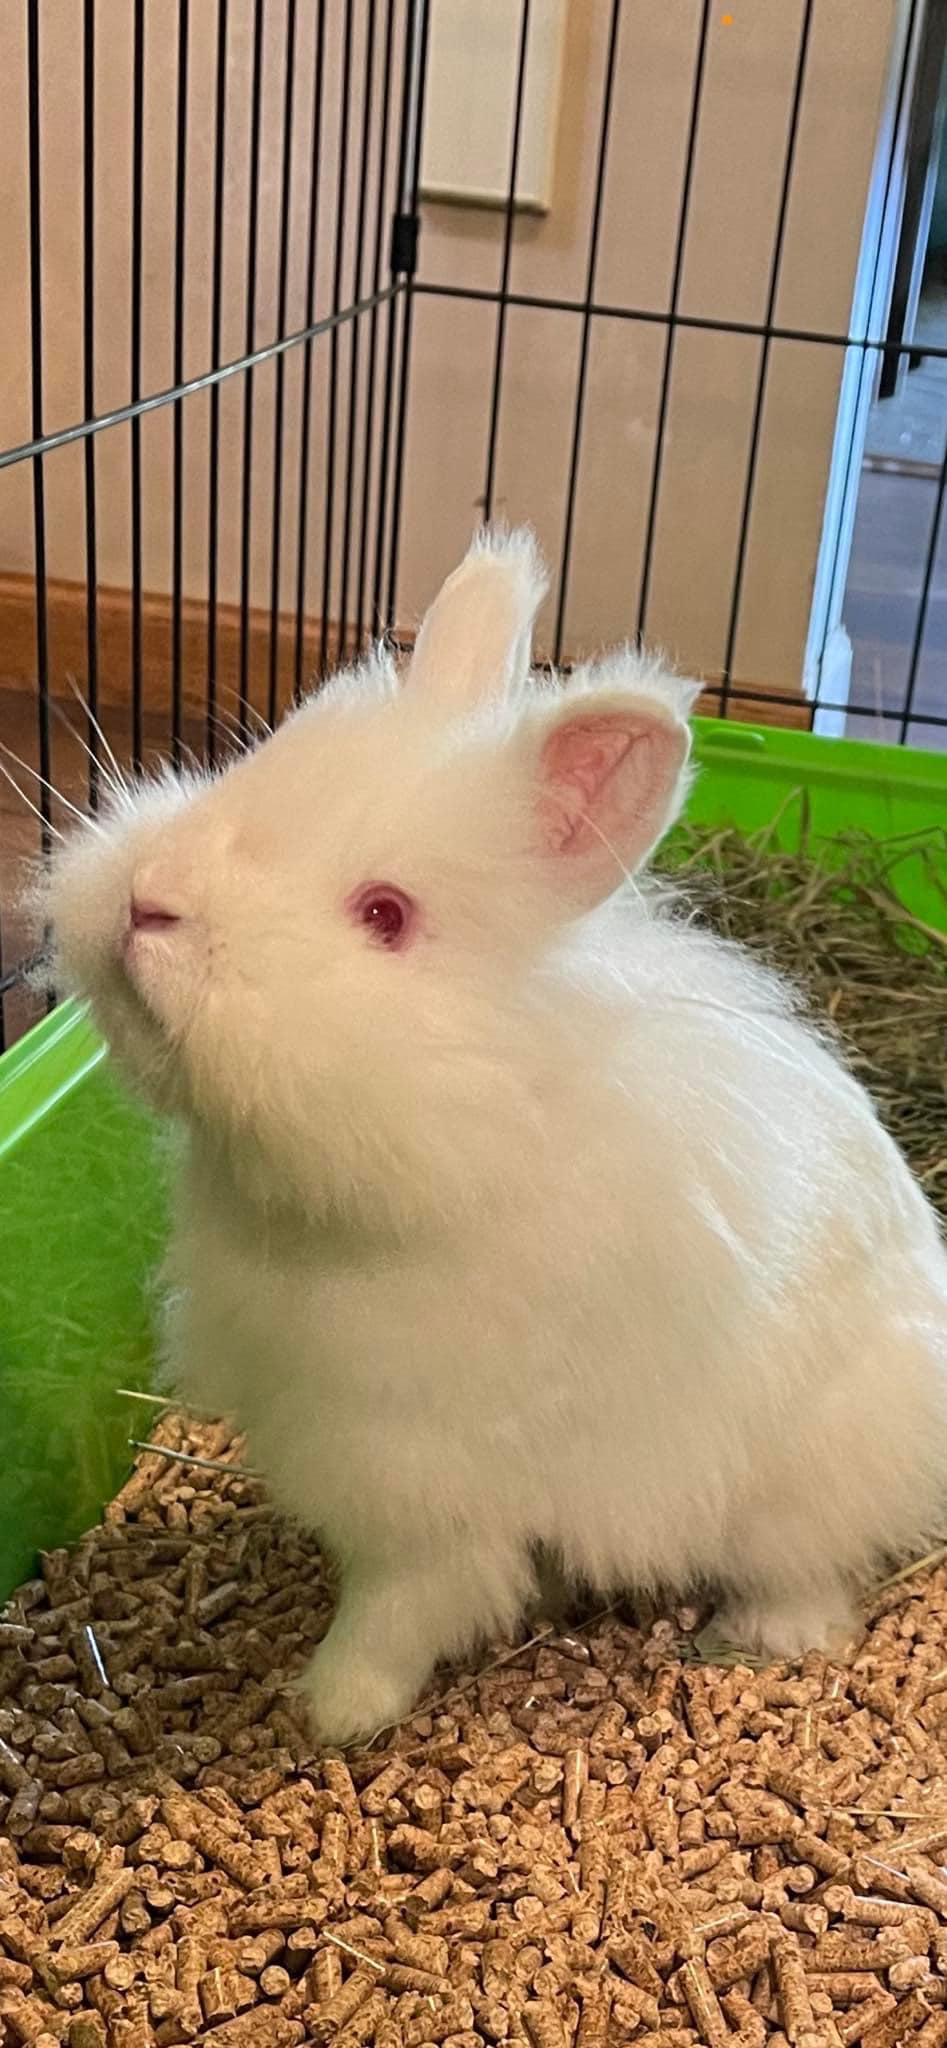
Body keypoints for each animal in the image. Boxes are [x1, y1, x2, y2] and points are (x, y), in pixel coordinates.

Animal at [40, 526, 947, 1744]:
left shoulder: (420, 1483)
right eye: (246, 772)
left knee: (809, 1572)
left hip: (797, 1477)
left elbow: (396, 1609)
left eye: (384, 914)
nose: (150, 902)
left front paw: (331, 1707)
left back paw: (757, 1636)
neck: (471, 1136)